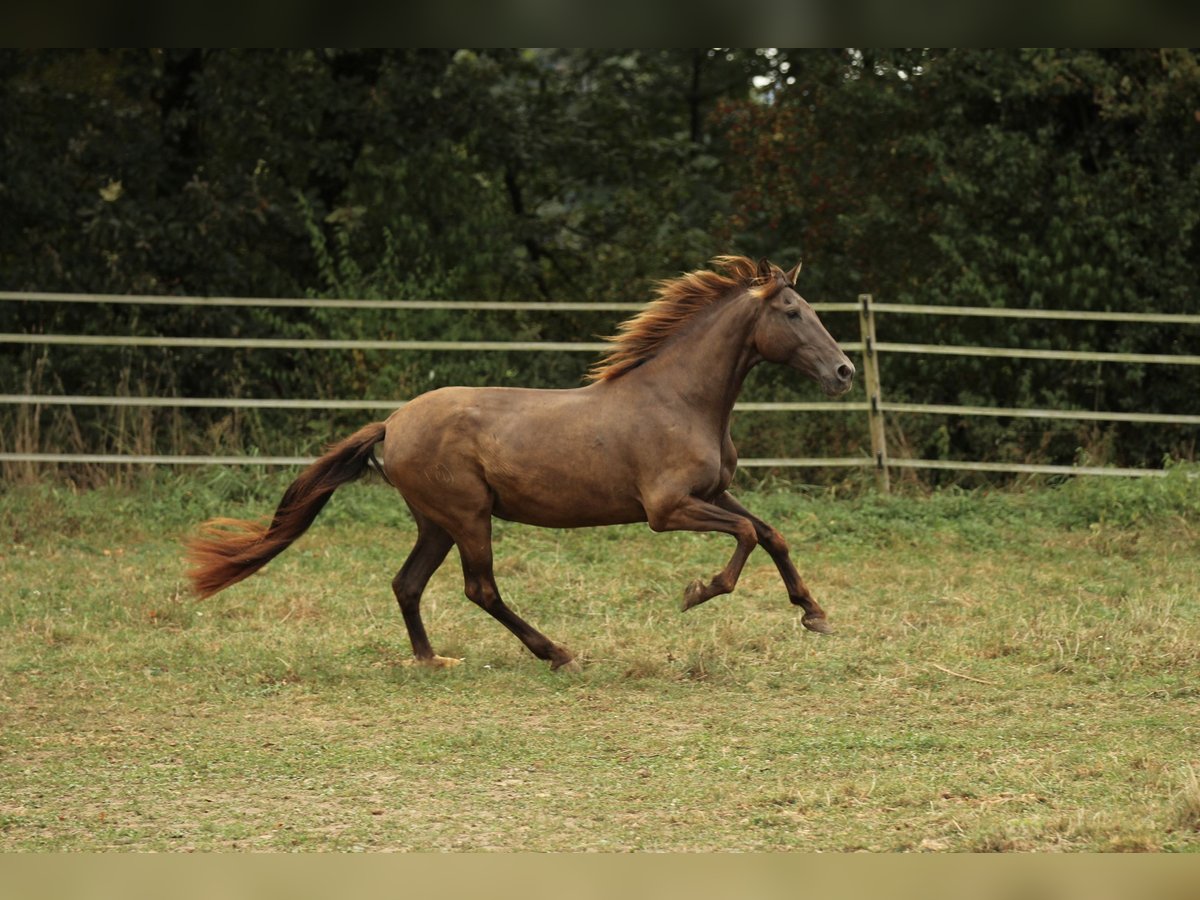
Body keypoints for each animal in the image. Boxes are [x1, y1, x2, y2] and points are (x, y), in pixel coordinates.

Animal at [184, 256, 854, 672]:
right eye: (792, 312)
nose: (845, 371)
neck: (682, 400)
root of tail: (392, 423)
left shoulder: (714, 492)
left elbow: (771, 533)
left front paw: (815, 615)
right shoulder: (667, 510)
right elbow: (745, 537)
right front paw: (698, 592)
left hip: (435, 523)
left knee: (407, 583)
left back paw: (431, 659)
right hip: (467, 516)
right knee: (479, 588)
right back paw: (557, 653)